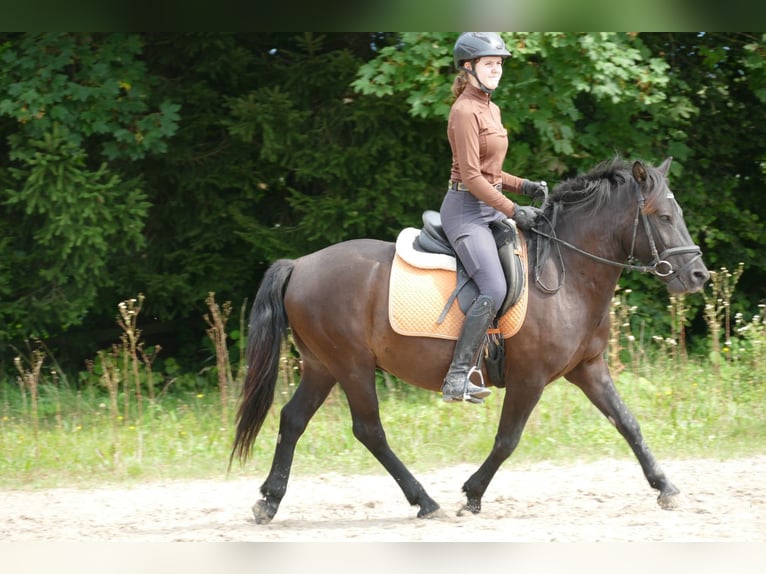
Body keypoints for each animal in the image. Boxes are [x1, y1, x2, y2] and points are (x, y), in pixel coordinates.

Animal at [231, 155, 712, 524]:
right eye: (664, 217)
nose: (698, 275)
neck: (567, 272)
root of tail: (300, 265)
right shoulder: (529, 378)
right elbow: (508, 439)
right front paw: (472, 495)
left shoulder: (588, 368)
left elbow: (627, 423)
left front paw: (666, 487)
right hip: (351, 366)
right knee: (369, 430)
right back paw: (425, 501)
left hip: (323, 366)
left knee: (293, 419)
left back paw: (269, 500)